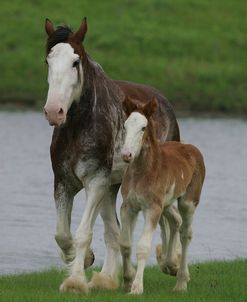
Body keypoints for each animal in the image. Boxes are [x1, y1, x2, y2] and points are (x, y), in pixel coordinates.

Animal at [44, 18, 179, 292]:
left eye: (75, 62)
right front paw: (84, 261)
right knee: (114, 232)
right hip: (112, 188)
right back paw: (107, 278)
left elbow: (83, 232)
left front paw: (75, 281)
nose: (54, 111)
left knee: (169, 220)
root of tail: (164, 103)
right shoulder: (63, 182)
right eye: (48, 61)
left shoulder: (95, 181)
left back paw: (170, 264)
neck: (79, 127)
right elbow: (63, 234)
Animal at [119, 97, 205, 294]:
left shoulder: (152, 208)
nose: (126, 154)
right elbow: (125, 243)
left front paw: (137, 287)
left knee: (186, 232)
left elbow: (143, 246)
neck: (141, 172)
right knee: (175, 221)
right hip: (166, 203)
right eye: (125, 126)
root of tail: (191, 148)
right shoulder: (128, 206)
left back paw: (181, 282)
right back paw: (170, 265)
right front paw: (127, 282)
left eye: (143, 128)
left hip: (188, 201)